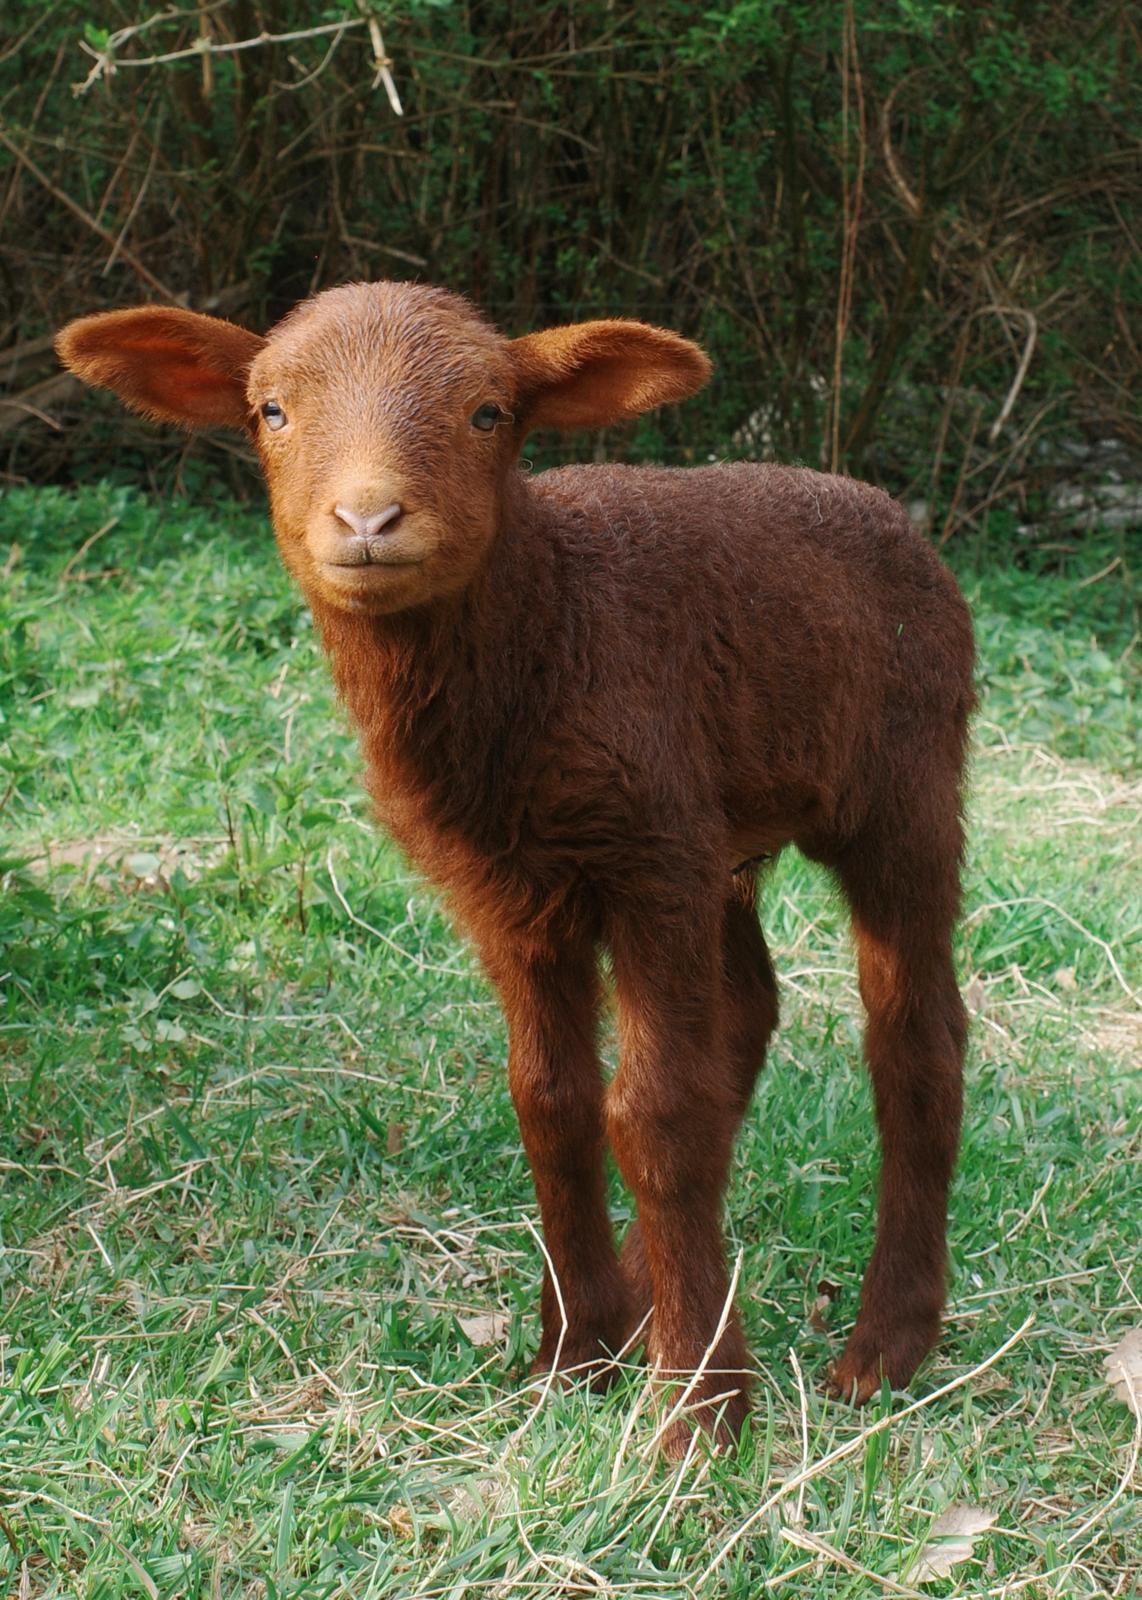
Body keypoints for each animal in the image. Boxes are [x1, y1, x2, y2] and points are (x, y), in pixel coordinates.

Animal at [56, 281, 975, 1457]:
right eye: (271, 410)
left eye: (488, 413)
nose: (366, 522)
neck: (548, 622)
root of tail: (888, 512)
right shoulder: (515, 888)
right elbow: (553, 1103)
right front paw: (571, 1356)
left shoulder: (646, 865)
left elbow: (658, 1112)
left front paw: (697, 1413)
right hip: (714, 833)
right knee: (748, 1010)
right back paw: (647, 1292)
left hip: (901, 785)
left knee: (914, 1037)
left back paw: (883, 1344)